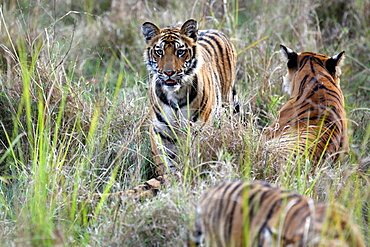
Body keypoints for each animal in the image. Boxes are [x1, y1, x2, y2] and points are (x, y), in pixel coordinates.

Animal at [125, 18, 238, 197]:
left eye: (180, 52)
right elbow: (165, 160)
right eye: (159, 52)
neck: (175, 96)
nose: (169, 72)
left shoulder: (198, 130)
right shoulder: (161, 131)